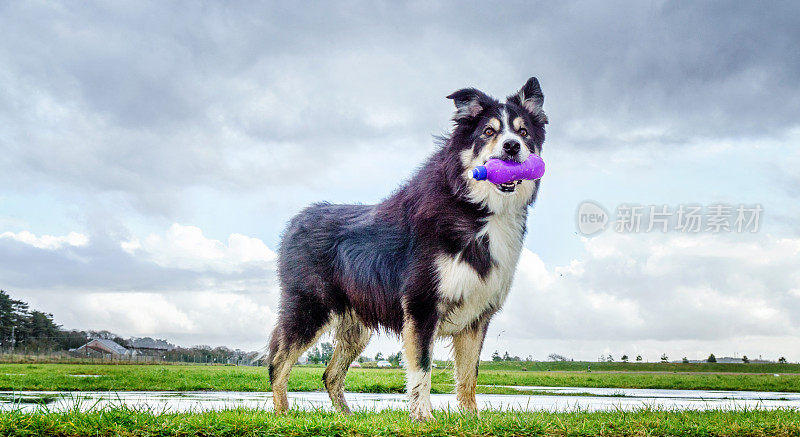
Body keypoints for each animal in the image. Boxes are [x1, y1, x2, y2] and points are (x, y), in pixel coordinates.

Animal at [266, 77, 548, 418]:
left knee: (330, 374)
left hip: (356, 326)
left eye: (524, 133)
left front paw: (471, 419)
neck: (474, 207)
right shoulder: (421, 305)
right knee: (278, 363)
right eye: (488, 132)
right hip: (310, 308)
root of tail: (295, 222)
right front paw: (423, 417)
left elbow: (469, 375)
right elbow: (421, 368)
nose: (512, 147)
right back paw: (283, 415)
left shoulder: (476, 315)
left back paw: (347, 417)